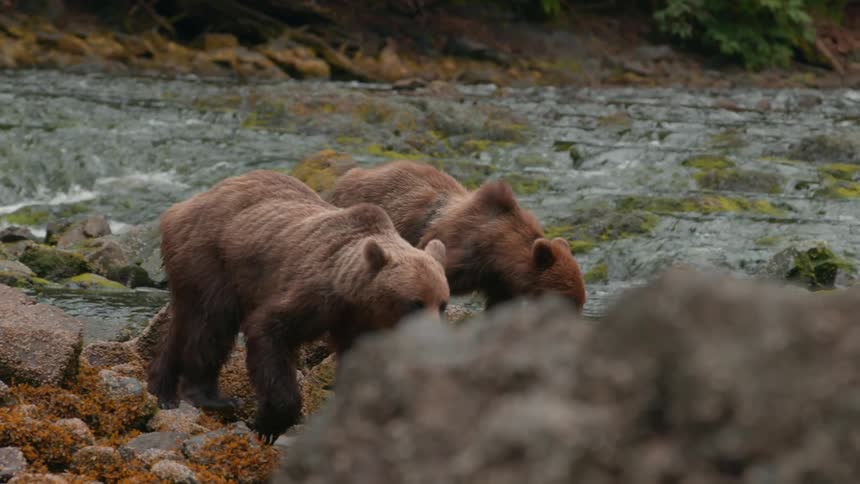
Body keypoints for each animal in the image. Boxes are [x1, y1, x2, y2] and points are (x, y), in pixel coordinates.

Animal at [147, 169, 449, 443]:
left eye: (443, 304)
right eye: (415, 303)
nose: (434, 338)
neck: (354, 298)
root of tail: (180, 208)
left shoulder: (359, 324)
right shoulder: (313, 295)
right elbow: (270, 332)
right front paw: (269, 421)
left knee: (181, 326)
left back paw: (162, 391)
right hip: (211, 260)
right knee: (211, 324)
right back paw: (211, 397)